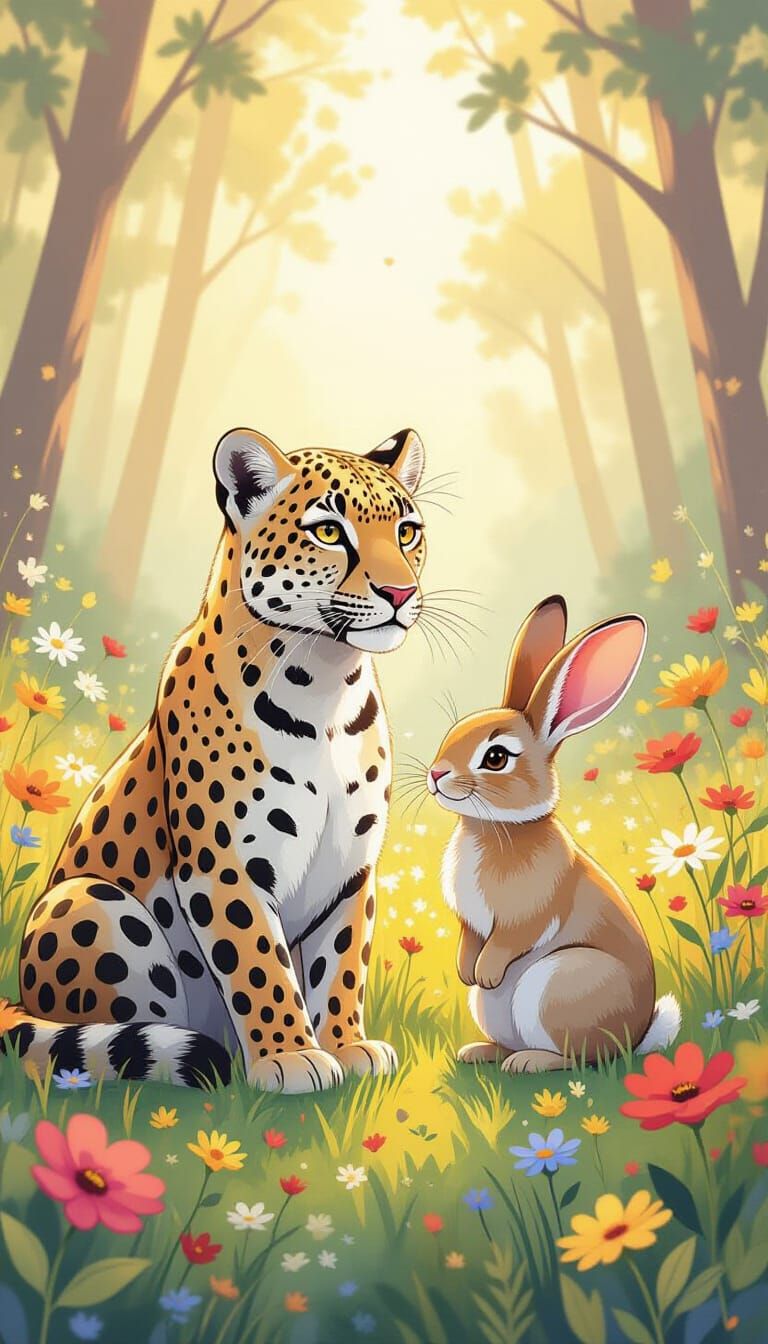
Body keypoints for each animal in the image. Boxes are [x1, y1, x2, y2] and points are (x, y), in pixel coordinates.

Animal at [0, 424, 426, 1093]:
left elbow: (341, 965)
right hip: (86, 901)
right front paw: (291, 1058)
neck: (328, 686)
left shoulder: (349, 871)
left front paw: (347, 1046)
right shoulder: (225, 865)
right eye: (329, 531)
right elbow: (259, 964)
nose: (400, 592)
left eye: (407, 531)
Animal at [428, 595, 681, 1074]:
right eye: (452, 733)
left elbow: (511, 939)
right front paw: (467, 970)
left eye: (495, 757)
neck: (496, 827)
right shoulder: (469, 922)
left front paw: (485, 972)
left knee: (582, 1057)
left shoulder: (529, 913)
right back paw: (480, 1052)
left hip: (561, 983)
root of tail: (636, 1036)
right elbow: (469, 939)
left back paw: (529, 1062)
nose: (436, 774)